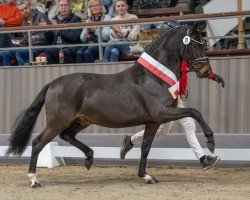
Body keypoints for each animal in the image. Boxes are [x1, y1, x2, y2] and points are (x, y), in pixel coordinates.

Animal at [5, 23, 225, 188]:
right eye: (196, 45)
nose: (206, 71)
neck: (153, 77)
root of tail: (52, 84)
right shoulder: (162, 113)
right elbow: (195, 111)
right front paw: (211, 143)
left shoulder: (154, 121)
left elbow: (146, 147)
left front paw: (146, 176)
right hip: (58, 121)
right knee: (38, 143)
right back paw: (34, 180)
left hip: (81, 120)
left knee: (67, 136)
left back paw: (89, 158)